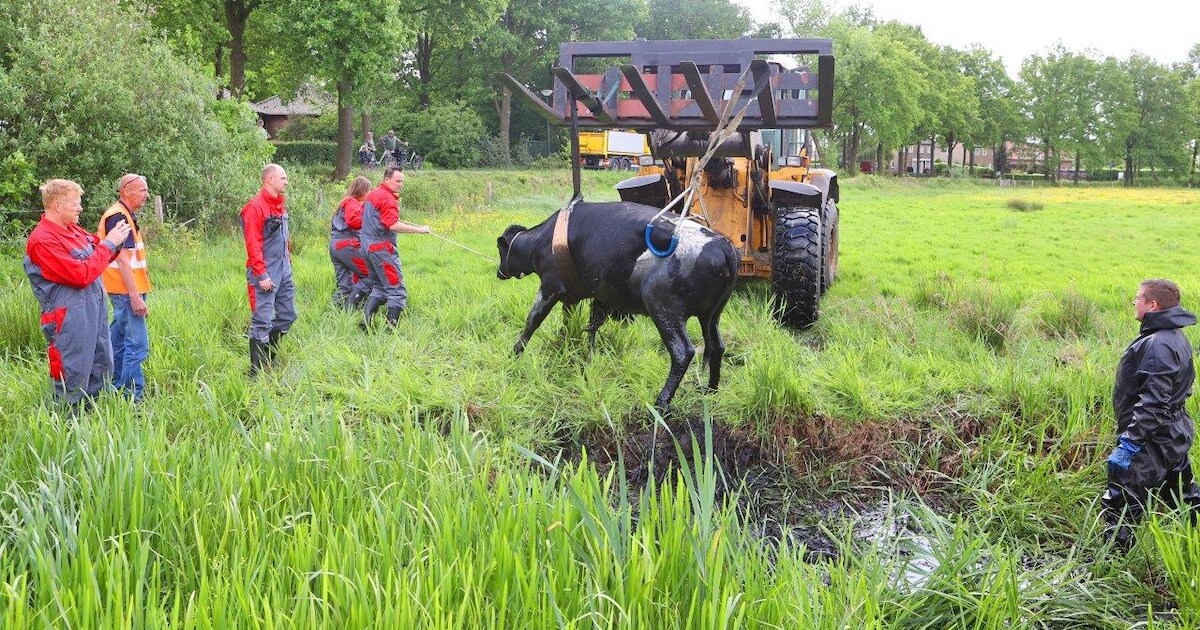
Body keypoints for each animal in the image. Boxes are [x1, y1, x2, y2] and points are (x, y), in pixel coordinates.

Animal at [496, 200, 738, 410]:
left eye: (500, 250)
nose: (499, 272)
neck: (542, 240)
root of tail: (721, 245)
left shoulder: (550, 287)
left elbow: (532, 321)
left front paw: (514, 354)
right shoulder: (588, 296)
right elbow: (583, 326)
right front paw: (583, 354)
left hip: (663, 310)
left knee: (683, 352)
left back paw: (661, 402)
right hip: (711, 317)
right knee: (717, 346)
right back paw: (711, 390)